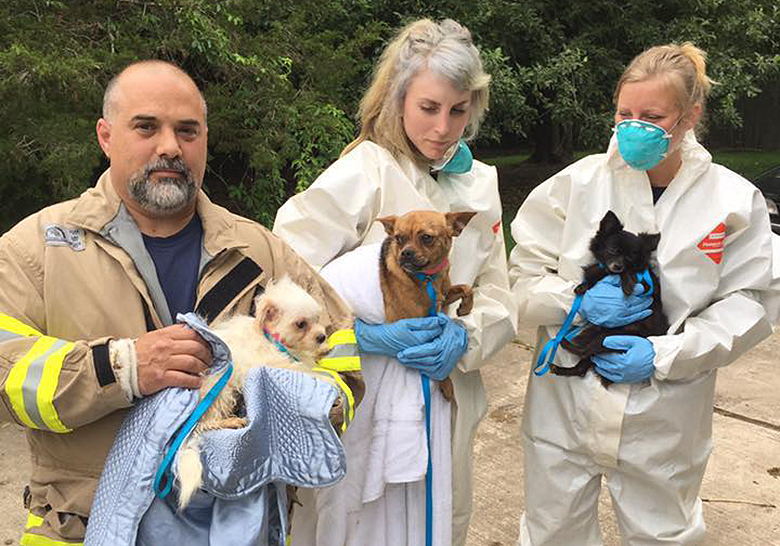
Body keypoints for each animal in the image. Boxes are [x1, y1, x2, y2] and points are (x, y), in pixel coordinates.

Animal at [175, 276, 330, 510]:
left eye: (318, 318)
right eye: (301, 324)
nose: (322, 336)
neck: (271, 338)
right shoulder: (275, 363)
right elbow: (304, 371)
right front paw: (327, 378)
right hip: (222, 389)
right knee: (205, 422)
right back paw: (229, 422)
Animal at [376, 209, 478, 400]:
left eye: (426, 237)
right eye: (398, 238)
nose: (405, 253)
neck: (427, 277)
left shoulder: (444, 295)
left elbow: (467, 288)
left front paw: (465, 308)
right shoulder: (414, 327)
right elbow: (433, 364)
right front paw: (444, 382)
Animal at [556, 208, 672, 382]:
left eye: (630, 258)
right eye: (612, 250)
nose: (618, 265)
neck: (608, 272)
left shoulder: (647, 285)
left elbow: (628, 273)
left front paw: (628, 285)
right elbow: (593, 278)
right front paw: (582, 287)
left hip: (610, 337)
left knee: (584, 352)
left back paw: (563, 342)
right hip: (596, 334)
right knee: (582, 365)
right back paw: (558, 367)